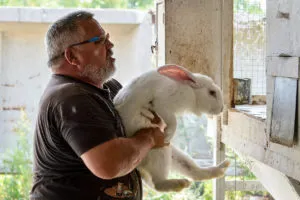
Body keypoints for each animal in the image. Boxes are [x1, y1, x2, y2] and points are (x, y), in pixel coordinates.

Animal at [113, 64, 230, 192]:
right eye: (212, 92)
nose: (221, 109)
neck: (191, 92)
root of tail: (139, 167)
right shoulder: (162, 104)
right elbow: (173, 121)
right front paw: (168, 134)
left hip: (173, 154)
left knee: (195, 172)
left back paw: (221, 168)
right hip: (159, 151)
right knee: (157, 184)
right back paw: (179, 183)